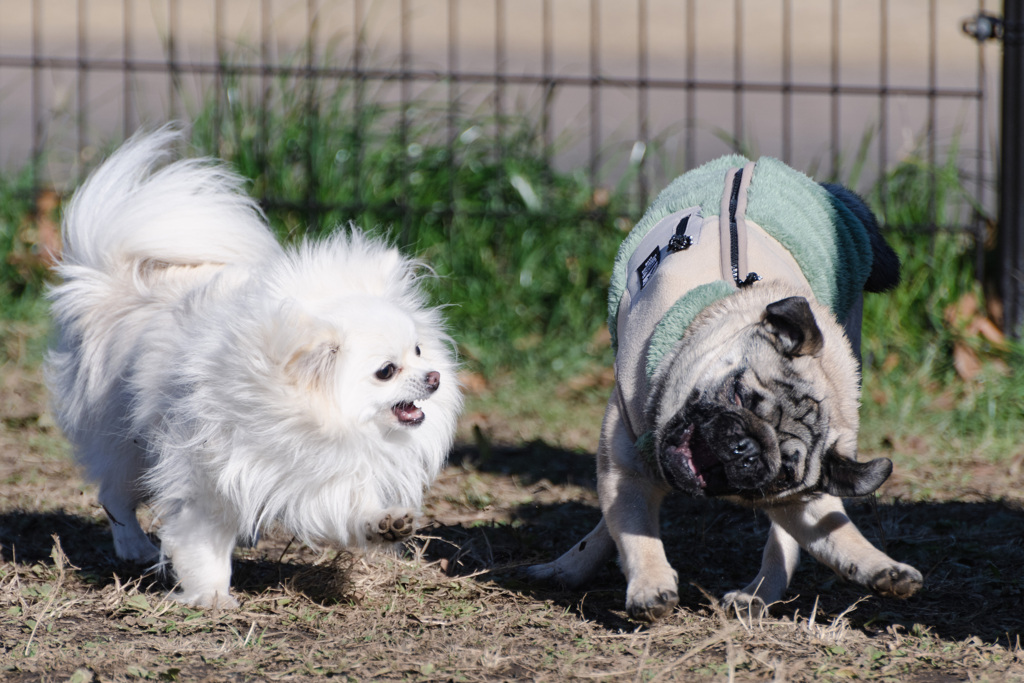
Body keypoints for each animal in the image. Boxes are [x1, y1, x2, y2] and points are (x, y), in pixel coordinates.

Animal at [47, 127, 464, 610]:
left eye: (418, 350)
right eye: (387, 371)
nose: (434, 377)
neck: (311, 419)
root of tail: (114, 283)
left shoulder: (325, 471)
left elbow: (352, 503)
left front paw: (385, 524)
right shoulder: (209, 476)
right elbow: (202, 541)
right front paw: (210, 594)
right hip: (125, 442)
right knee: (114, 493)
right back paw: (133, 546)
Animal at [528, 157, 921, 622]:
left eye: (784, 471)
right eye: (740, 396)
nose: (745, 448)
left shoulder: (800, 497)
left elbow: (834, 535)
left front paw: (882, 569)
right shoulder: (625, 464)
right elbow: (636, 531)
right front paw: (651, 586)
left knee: (782, 544)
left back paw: (757, 595)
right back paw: (568, 567)